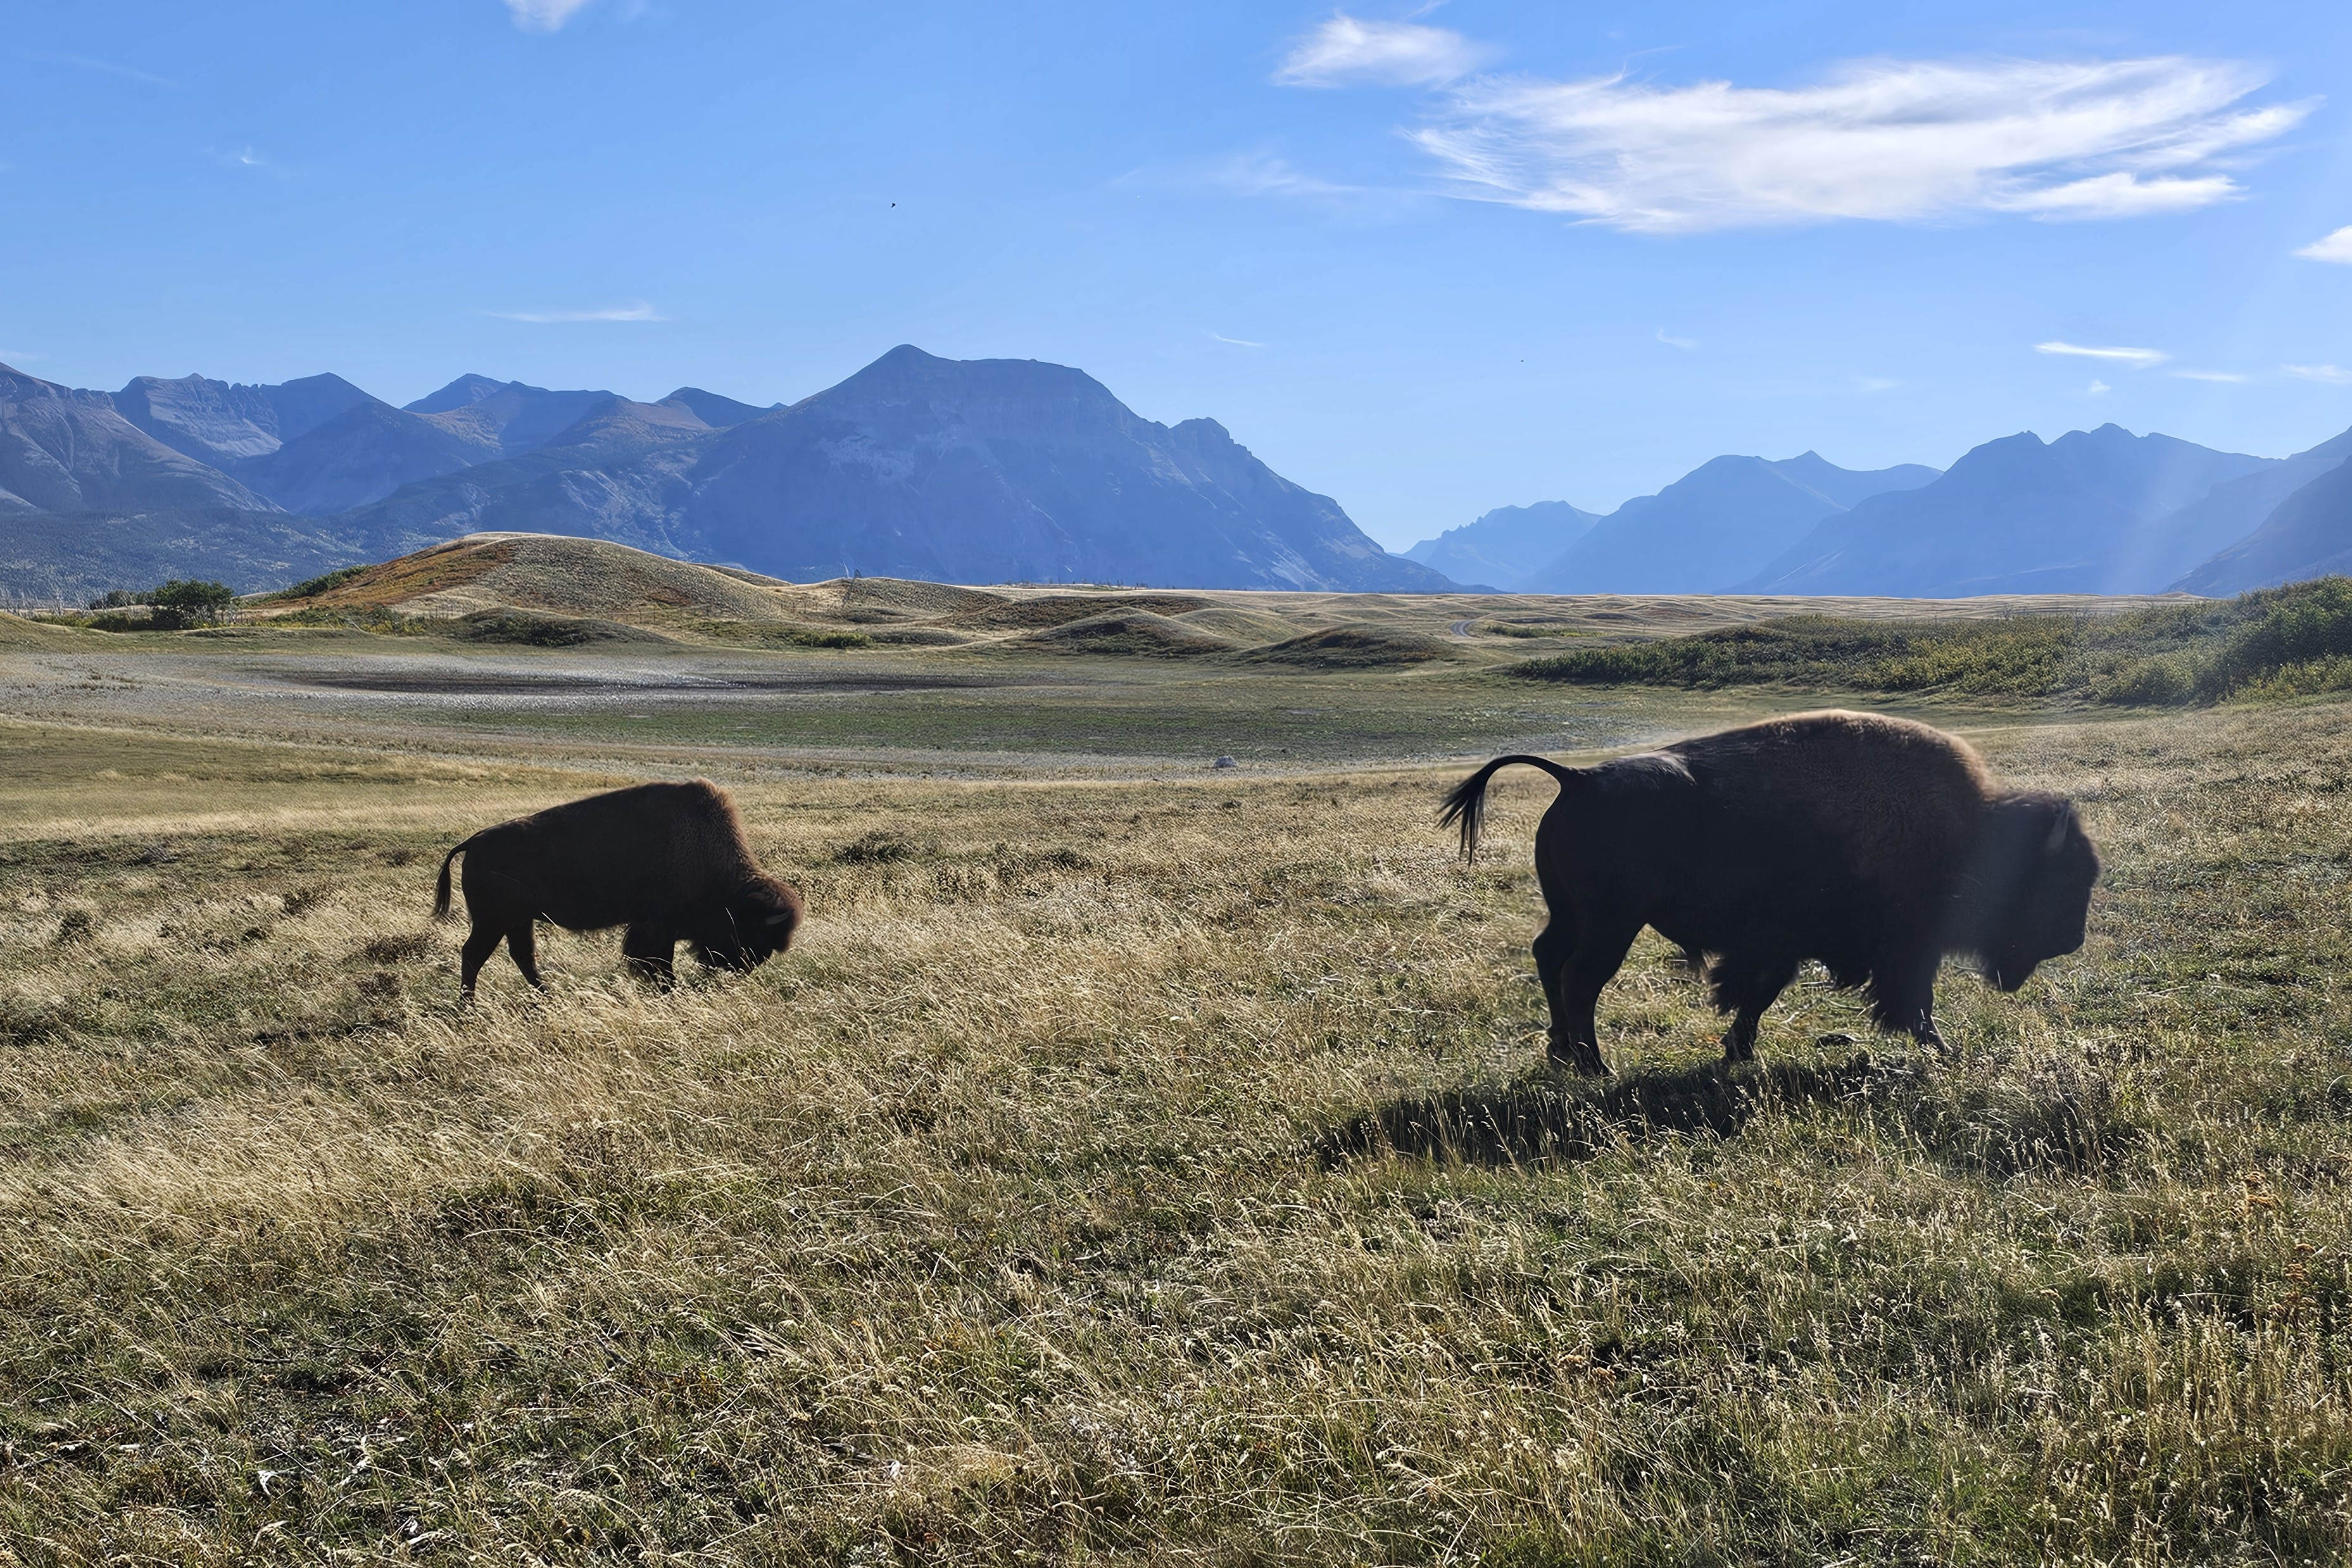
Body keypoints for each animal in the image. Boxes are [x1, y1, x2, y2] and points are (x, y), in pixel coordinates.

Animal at [433, 779, 802, 996]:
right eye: (752, 932)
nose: (743, 967)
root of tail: (473, 842)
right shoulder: (656, 928)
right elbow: (657, 962)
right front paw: (668, 990)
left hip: (517, 921)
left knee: (521, 956)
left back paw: (547, 996)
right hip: (493, 921)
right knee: (475, 954)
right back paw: (470, 1005)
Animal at [1440, 710, 2098, 1073]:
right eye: (2059, 879)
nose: (2072, 940)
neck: (1972, 833)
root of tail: (1575, 778)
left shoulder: (1783, 948)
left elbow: (1758, 996)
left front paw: (1738, 1051)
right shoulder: (1902, 952)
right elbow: (1915, 1007)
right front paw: (1945, 1051)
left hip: (1573, 915)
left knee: (1549, 960)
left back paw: (1561, 1055)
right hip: (1611, 924)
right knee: (1581, 980)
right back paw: (1595, 1066)